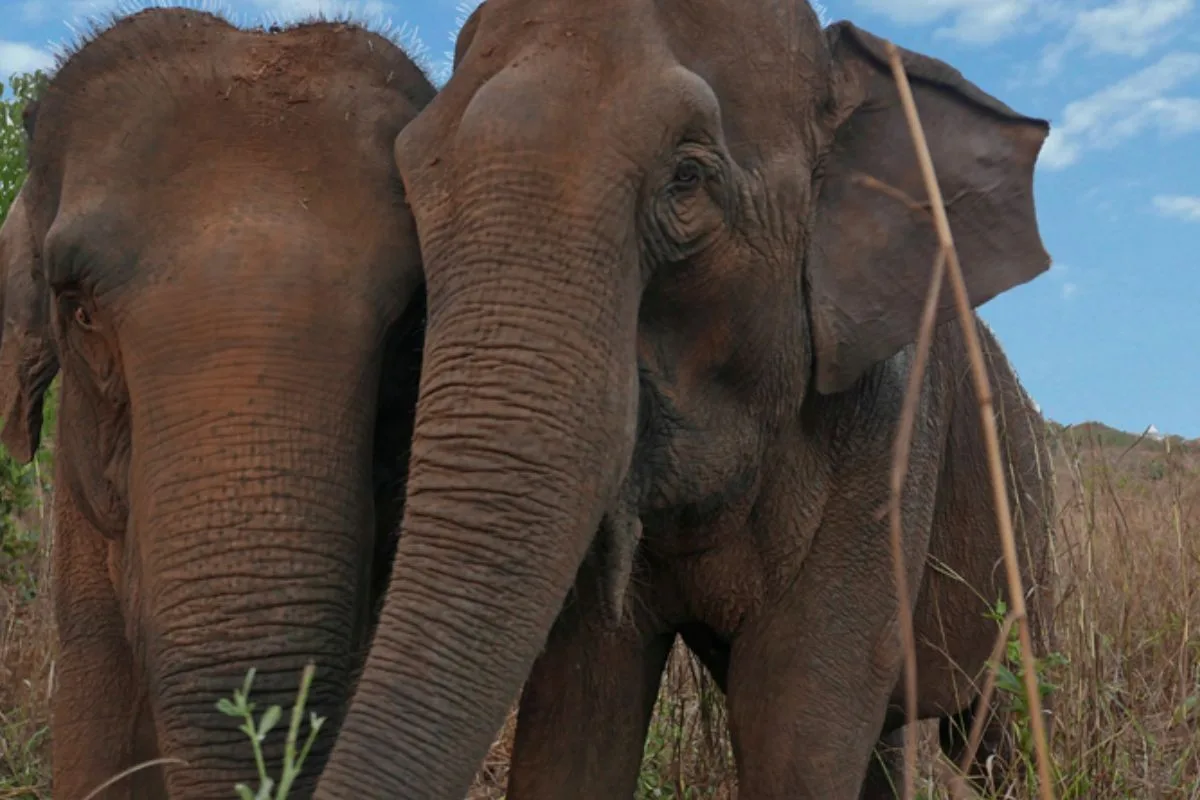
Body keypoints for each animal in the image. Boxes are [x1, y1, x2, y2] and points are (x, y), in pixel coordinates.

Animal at [313, 1, 1058, 798]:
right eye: (413, 179)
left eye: (688, 178)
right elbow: (581, 706)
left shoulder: (887, 434)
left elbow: (797, 724)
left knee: (1004, 725)